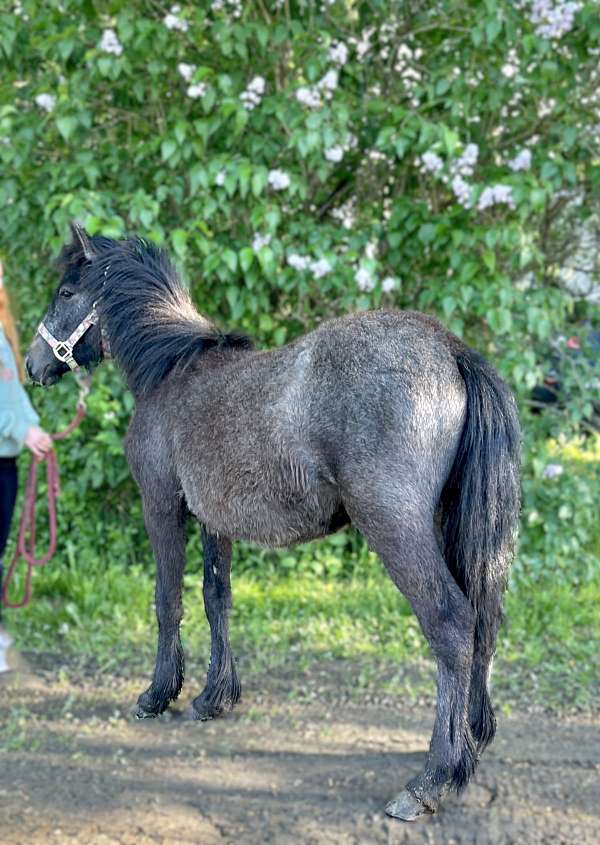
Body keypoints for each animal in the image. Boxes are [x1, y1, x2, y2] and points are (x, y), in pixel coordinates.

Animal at [25, 222, 520, 821]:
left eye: (65, 293)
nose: (32, 365)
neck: (172, 370)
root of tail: (450, 349)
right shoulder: (213, 520)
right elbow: (217, 598)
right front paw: (213, 698)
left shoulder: (161, 505)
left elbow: (169, 600)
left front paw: (158, 695)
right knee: (484, 620)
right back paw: (470, 746)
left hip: (396, 529)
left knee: (451, 624)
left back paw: (431, 780)